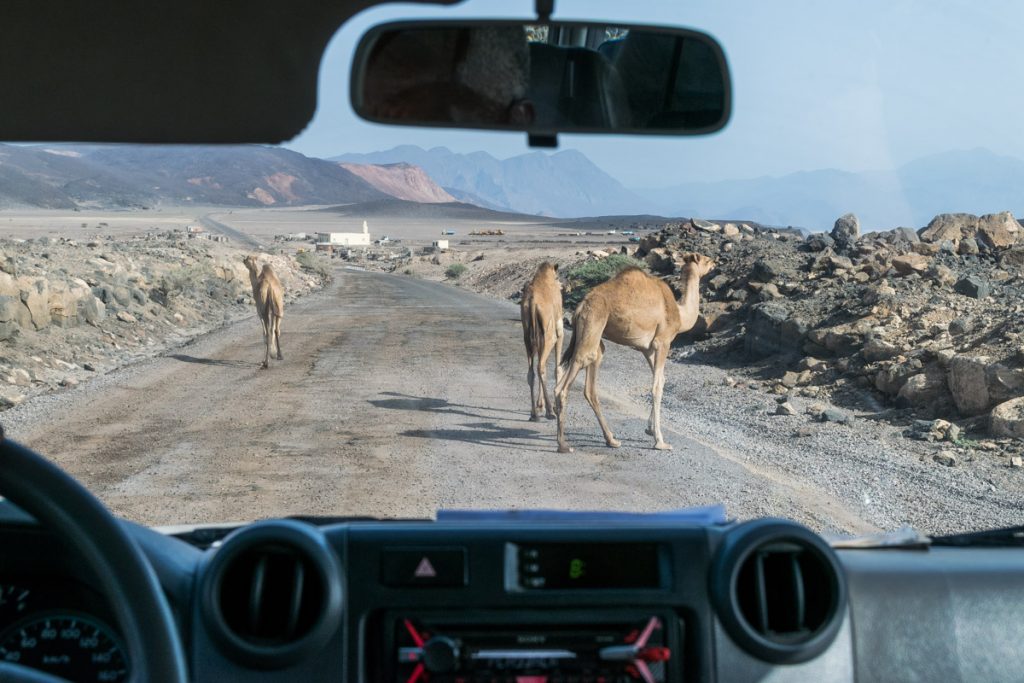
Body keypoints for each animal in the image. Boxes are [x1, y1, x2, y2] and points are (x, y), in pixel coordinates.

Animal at [520, 264, 569, 419]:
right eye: (558, 276)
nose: (565, 287)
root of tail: (532, 303)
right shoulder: (559, 332)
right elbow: (557, 369)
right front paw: (553, 406)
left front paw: (539, 405)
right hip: (548, 337)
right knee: (540, 367)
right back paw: (550, 411)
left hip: (528, 339)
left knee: (531, 371)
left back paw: (534, 413)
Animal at [557, 253, 716, 450]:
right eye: (706, 260)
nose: (715, 263)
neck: (680, 314)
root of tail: (579, 308)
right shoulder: (662, 342)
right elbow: (656, 386)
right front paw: (660, 441)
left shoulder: (647, 349)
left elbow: (661, 379)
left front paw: (649, 429)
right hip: (594, 321)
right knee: (573, 375)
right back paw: (563, 445)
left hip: (592, 333)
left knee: (581, 380)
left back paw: (611, 440)